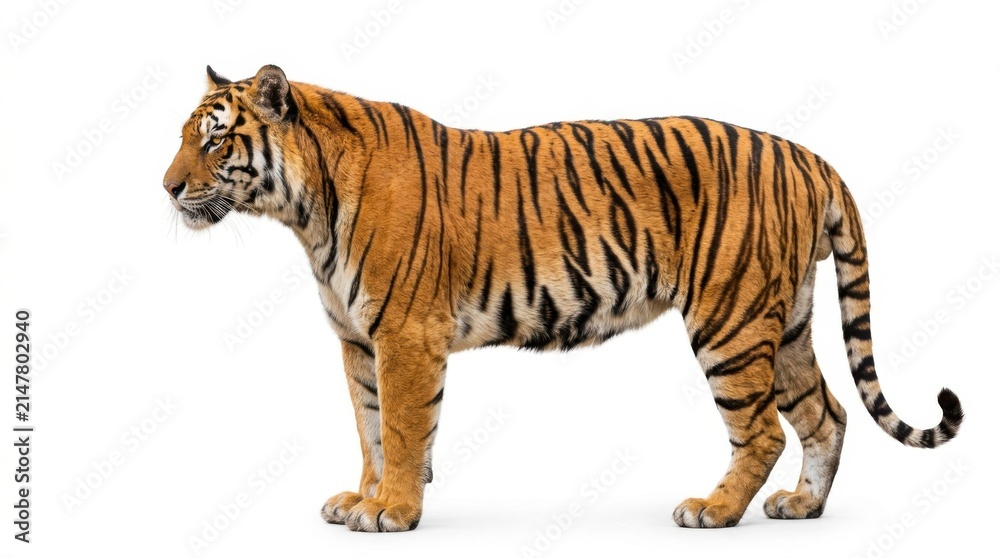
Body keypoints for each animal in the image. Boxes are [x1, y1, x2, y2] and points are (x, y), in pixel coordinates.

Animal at [163, 65, 964, 532]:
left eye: (215, 141)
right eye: (184, 135)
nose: (166, 188)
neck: (305, 212)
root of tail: (808, 155)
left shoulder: (404, 338)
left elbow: (404, 428)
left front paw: (393, 510)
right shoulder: (358, 342)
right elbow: (370, 428)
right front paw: (362, 498)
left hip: (730, 322)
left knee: (763, 429)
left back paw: (714, 510)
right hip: (785, 319)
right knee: (826, 414)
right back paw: (803, 506)